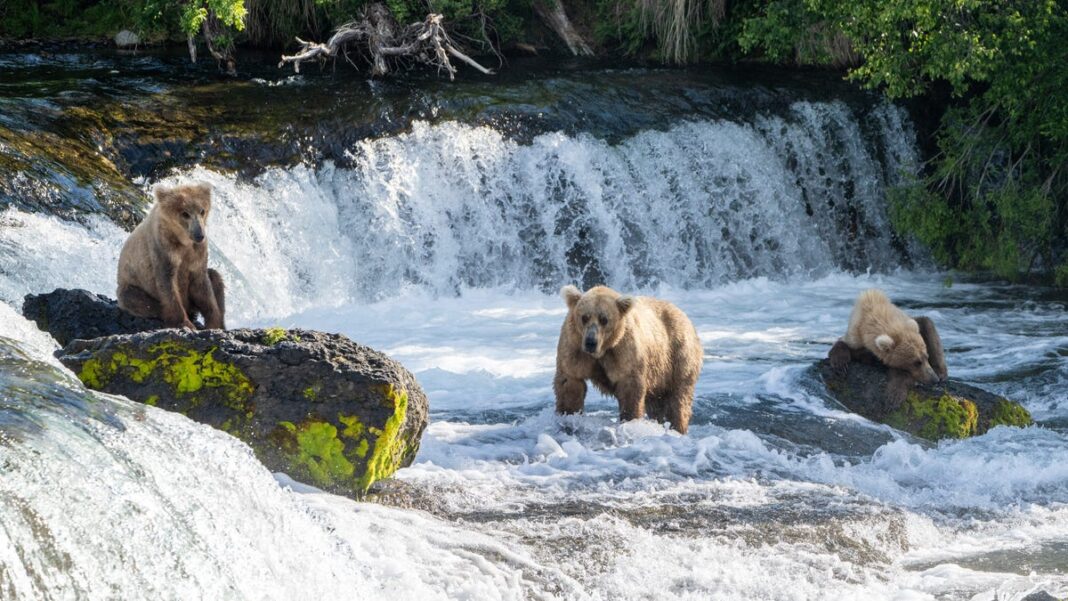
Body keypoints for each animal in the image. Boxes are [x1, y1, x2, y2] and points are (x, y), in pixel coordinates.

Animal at [115, 184, 224, 330]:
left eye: (202, 210)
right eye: (185, 213)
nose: (199, 234)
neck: (183, 240)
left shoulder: (197, 253)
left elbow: (203, 286)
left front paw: (214, 323)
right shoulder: (163, 249)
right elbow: (168, 284)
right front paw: (185, 324)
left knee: (216, 278)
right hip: (132, 286)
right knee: (133, 298)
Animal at [555, 286, 704, 433]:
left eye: (604, 319)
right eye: (584, 317)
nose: (591, 342)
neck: (603, 350)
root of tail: (684, 315)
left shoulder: (625, 351)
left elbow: (630, 388)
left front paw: (629, 420)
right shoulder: (575, 347)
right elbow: (570, 382)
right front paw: (568, 414)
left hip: (678, 355)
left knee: (678, 399)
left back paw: (677, 427)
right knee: (656, 403)